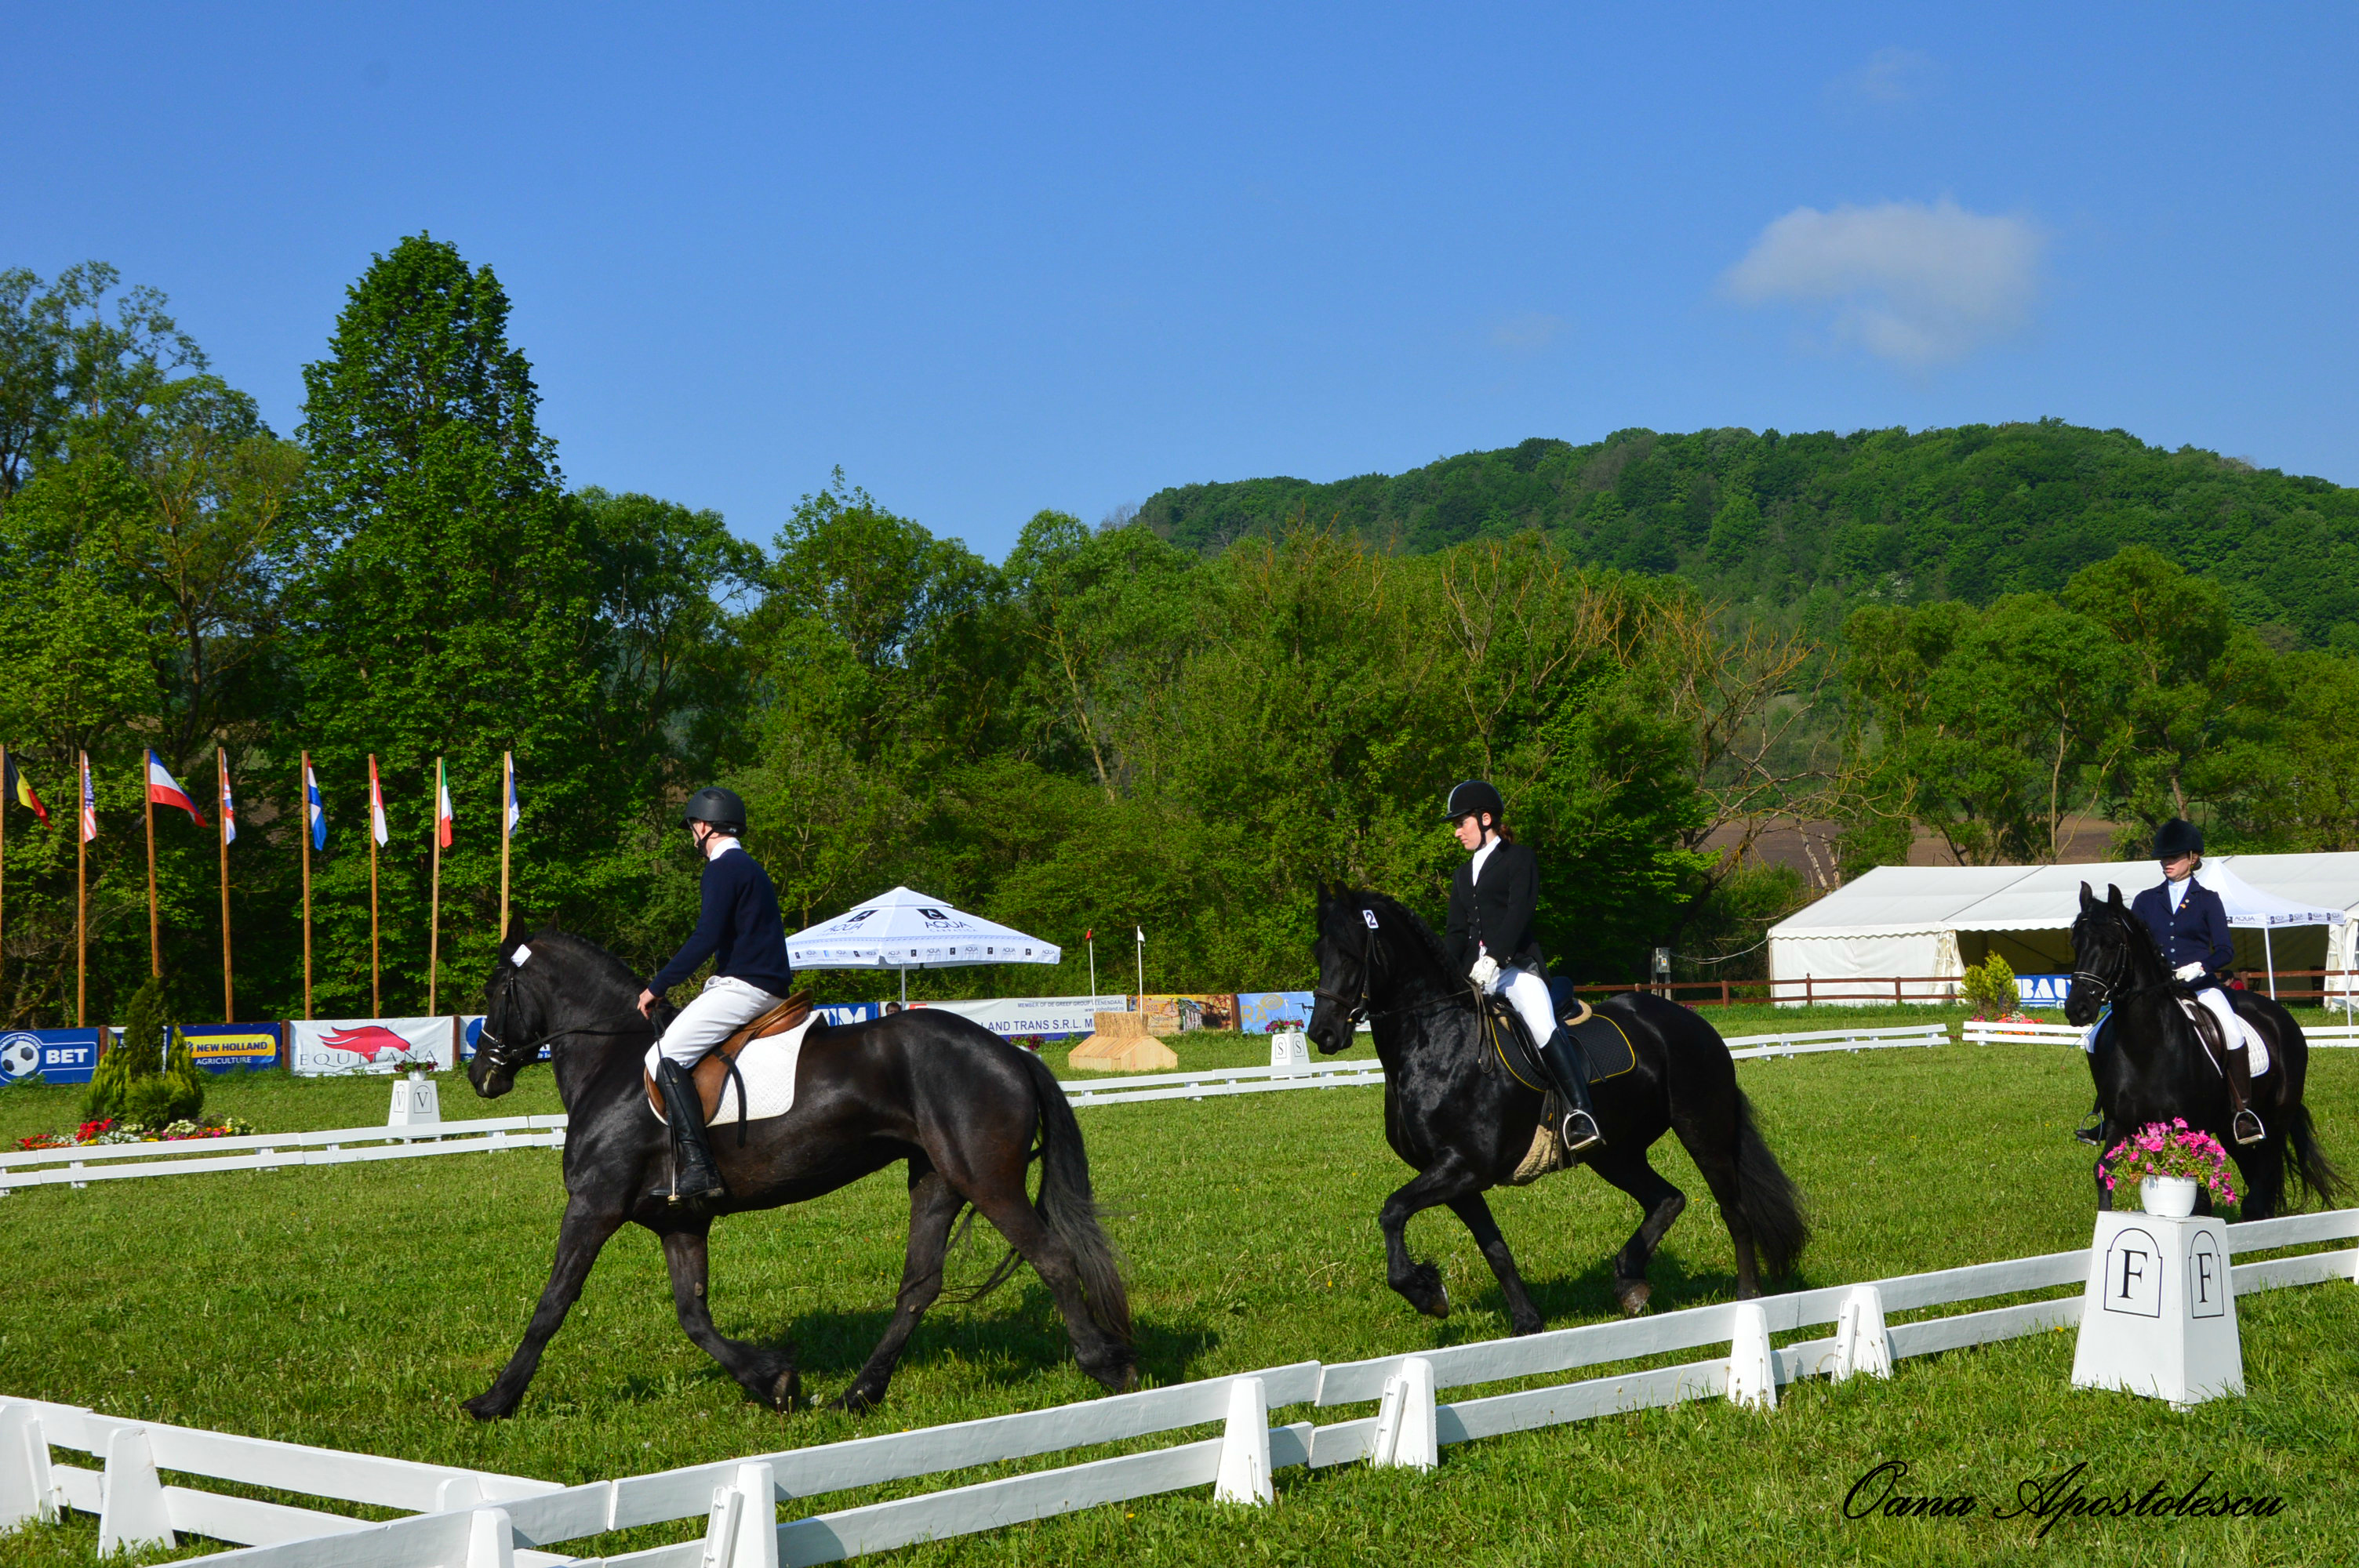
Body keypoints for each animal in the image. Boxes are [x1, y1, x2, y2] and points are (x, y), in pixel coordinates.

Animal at [457, 924, 1132, 1414]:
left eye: (495, 989)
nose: (482, 1076)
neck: (615, 1062)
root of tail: (1012, 1055)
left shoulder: (594, 1205)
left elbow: (553, 1304)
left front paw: (494, 1401)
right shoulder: (679, 1221)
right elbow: (693, 1315)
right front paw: (774, 1381)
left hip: (987, 1181)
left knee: (1053, 1258)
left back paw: (1107, 1366)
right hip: (936, 1179)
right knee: (920, 1285)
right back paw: (858, 1394)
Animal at [1302, 886, 1812, 1330]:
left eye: (1351, 953)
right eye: (1319, 952)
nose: (1323, 1034)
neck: (1438, 1042)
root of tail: (1692, 1021)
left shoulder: (1464, 1166)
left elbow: (1392, 1210)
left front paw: (1425, 1293)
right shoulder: (1455, 1177)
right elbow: (1493, 1248)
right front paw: (1525, 1322)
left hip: (1701, 1129)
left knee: (1733, 1211)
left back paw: (1747, 1298)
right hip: (1615, 1152)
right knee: (1667, 1199)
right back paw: (1629, 1281)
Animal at [2066, 886, 2339, 1216]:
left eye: (2110, 944)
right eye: (2075, 943)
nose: (2077, 1009)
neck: (2145, 1046)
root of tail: (2278, 1014)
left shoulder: (2191, 1128)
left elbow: (2199, 1198)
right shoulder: (2122, 1124)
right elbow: (2103, 1172)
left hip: (2277, 1116)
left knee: (2266, 1171)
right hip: (2228, 1126)